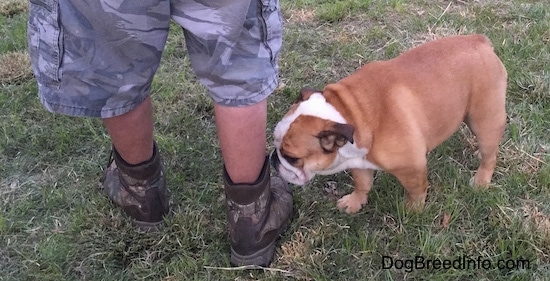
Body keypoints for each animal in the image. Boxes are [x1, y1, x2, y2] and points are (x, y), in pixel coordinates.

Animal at [272, 34, 508, 212]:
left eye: (292, 158)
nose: (274, 159)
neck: (349, 113)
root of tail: (479, 40)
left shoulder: (412, 166)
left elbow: (416, 190)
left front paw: (413, 210)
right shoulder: (359, 161)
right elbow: (362, 182)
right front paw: (355, 202)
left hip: (485, 118)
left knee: (490, 155)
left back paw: (481, 181)